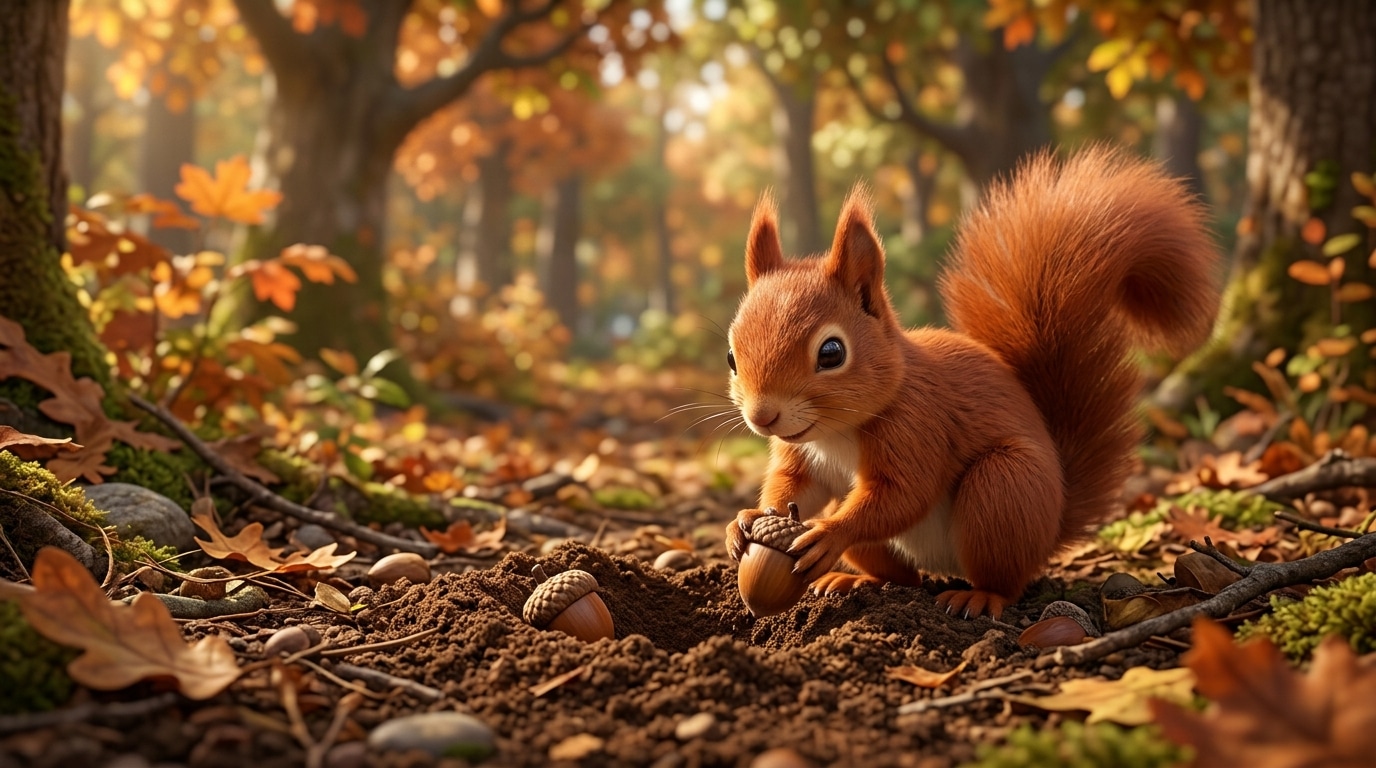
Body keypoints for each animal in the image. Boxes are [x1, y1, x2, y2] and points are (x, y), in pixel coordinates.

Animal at [722, 145, 1222, 618]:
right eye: (731, 356)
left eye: (831, 353)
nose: (763, 417)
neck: (835, 433)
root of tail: (1053, 524)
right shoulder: (800, 455)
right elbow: (793, 487)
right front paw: (744, 520)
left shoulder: (918, 425)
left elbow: (902, 494)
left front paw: (830, 532)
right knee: (905, 579)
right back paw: (857, 580)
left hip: (1003, 489)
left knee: (1004, 580)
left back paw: (979, 597)